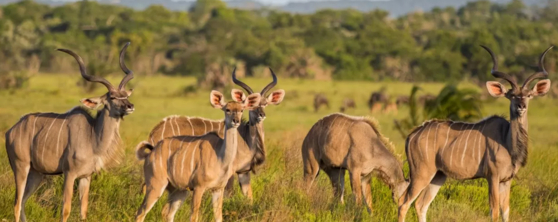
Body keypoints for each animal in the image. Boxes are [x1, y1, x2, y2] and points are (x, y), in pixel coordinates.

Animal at [4, 42, 137, 221]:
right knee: (17, 203)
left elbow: (83, 211)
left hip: (36, 173)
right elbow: (65, 209)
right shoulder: (69, 174)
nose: (130, 106)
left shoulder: (86, 177)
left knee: (24, 201)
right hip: (21, 166)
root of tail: (11, 130)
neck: (92, 137)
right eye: (112, 97)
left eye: (125, 95)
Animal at [134, 89, 262, 221]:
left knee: (167, 213)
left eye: (241, 110)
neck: (221, 158)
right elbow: (194, 217)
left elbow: (219, 217)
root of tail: (151, 153)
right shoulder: (198, 187)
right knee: (140, 213)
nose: (236, 121)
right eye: (227, 109)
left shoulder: (218, 189)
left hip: (179, 191)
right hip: (156, 185)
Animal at [139, 69, 286, 203]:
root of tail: (155, 130)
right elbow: (228, 194)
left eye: (265, 103)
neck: (246, 138)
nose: (261, 114)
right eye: (252, 106)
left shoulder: (244, 172)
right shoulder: (230, 172)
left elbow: (248, 196)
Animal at [398, 45, 556, 222]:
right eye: (512, 96)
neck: (507, 141)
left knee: (421, 205)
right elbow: (494, 212)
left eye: (528, 95)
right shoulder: (492, 177)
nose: (521, 107)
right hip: (422, 173)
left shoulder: (506, 180)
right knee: (403, 202)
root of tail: (412, 135)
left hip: (438, 176)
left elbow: (506, 212)